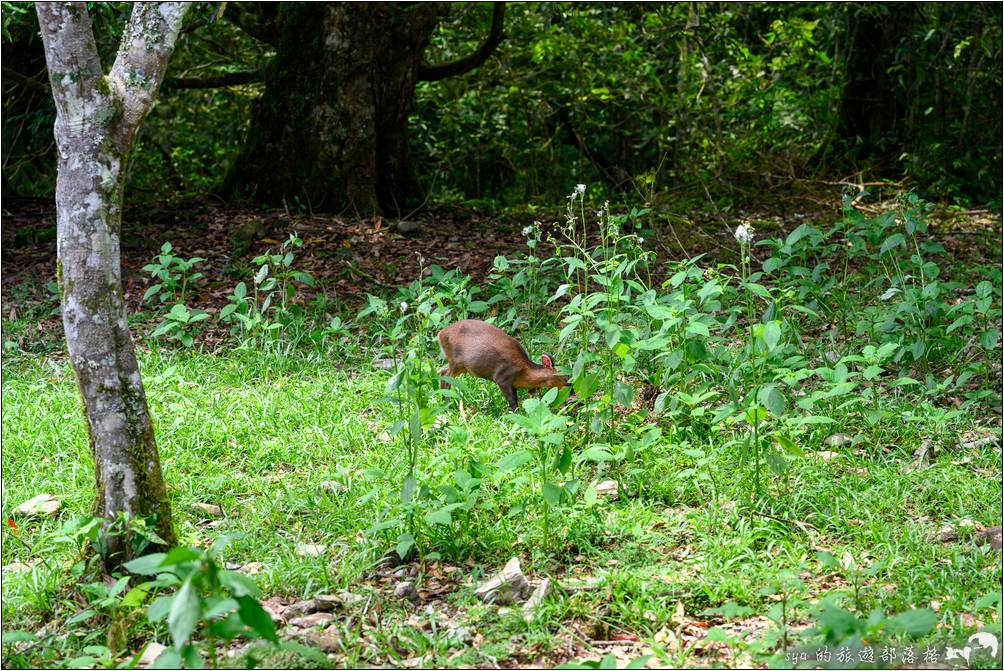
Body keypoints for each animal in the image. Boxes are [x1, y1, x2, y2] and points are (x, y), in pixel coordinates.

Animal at [437, 319, 570, 411]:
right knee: (446, 376)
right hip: (455, 360)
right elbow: (512, 400)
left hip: (461, 366)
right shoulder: (502, 377)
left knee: (442, 372)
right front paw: (515, 413)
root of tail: (440, 334)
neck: (524, 372)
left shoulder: (513, 384)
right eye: (565, 378)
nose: (571, 390)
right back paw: (448, 403)